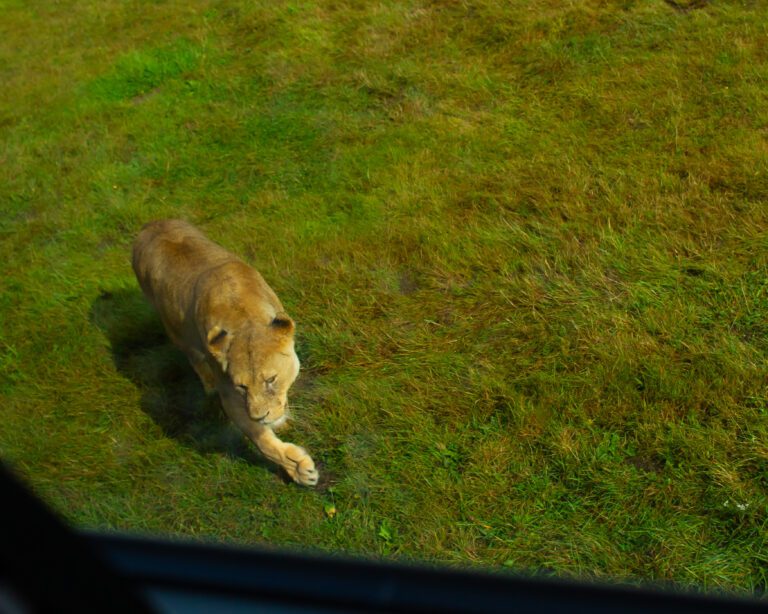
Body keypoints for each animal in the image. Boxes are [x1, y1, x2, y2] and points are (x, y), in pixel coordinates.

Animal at [131, 219, 318, 486]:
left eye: (271, 379)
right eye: (242, 387)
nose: (260, 417)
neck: (242, 315)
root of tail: (150, 224)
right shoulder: (229, 393)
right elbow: (261, 440)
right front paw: (299, 469)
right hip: (173, 327)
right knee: (193, 357)